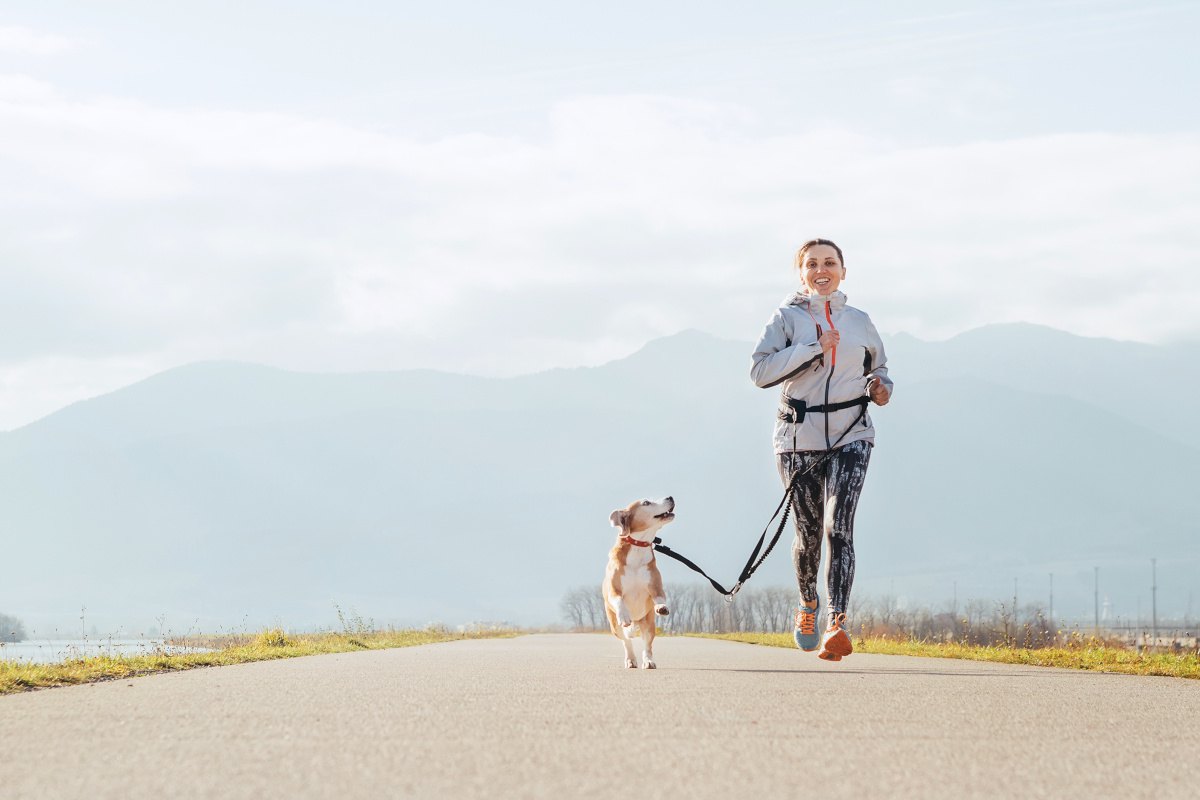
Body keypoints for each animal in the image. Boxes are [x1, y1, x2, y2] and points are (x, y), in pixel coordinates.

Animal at [600, 494, 676, 671]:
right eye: (646, 503)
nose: (670, 497)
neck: (638, 547)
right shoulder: (614, 590)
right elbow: (618, 600)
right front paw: (624, 614)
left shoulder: (656, 587)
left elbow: (660, 597)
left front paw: (661, 607)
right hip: (615, 627)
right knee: (626, 641)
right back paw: (630, 660)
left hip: (649, 624)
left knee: (647, 645)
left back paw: (648, 661)